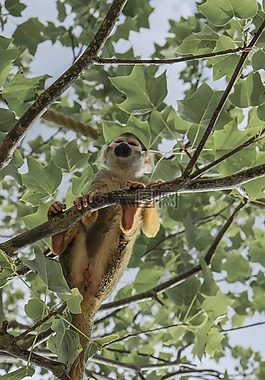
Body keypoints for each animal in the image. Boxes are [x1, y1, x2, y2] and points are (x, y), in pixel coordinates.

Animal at [46, 133, 160, 378]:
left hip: (109, 270)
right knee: (78, 222)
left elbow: (150, 230)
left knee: (125, 235)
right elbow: (94, 192)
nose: (123, 145)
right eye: (119, 141)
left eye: (132, 144)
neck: (122, 175)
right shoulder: (101, 175)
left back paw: (128, 217)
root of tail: (88, 297)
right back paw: (61, 234)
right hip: (73, 263)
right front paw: (87, 200)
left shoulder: (142, 180)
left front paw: (148, 200)